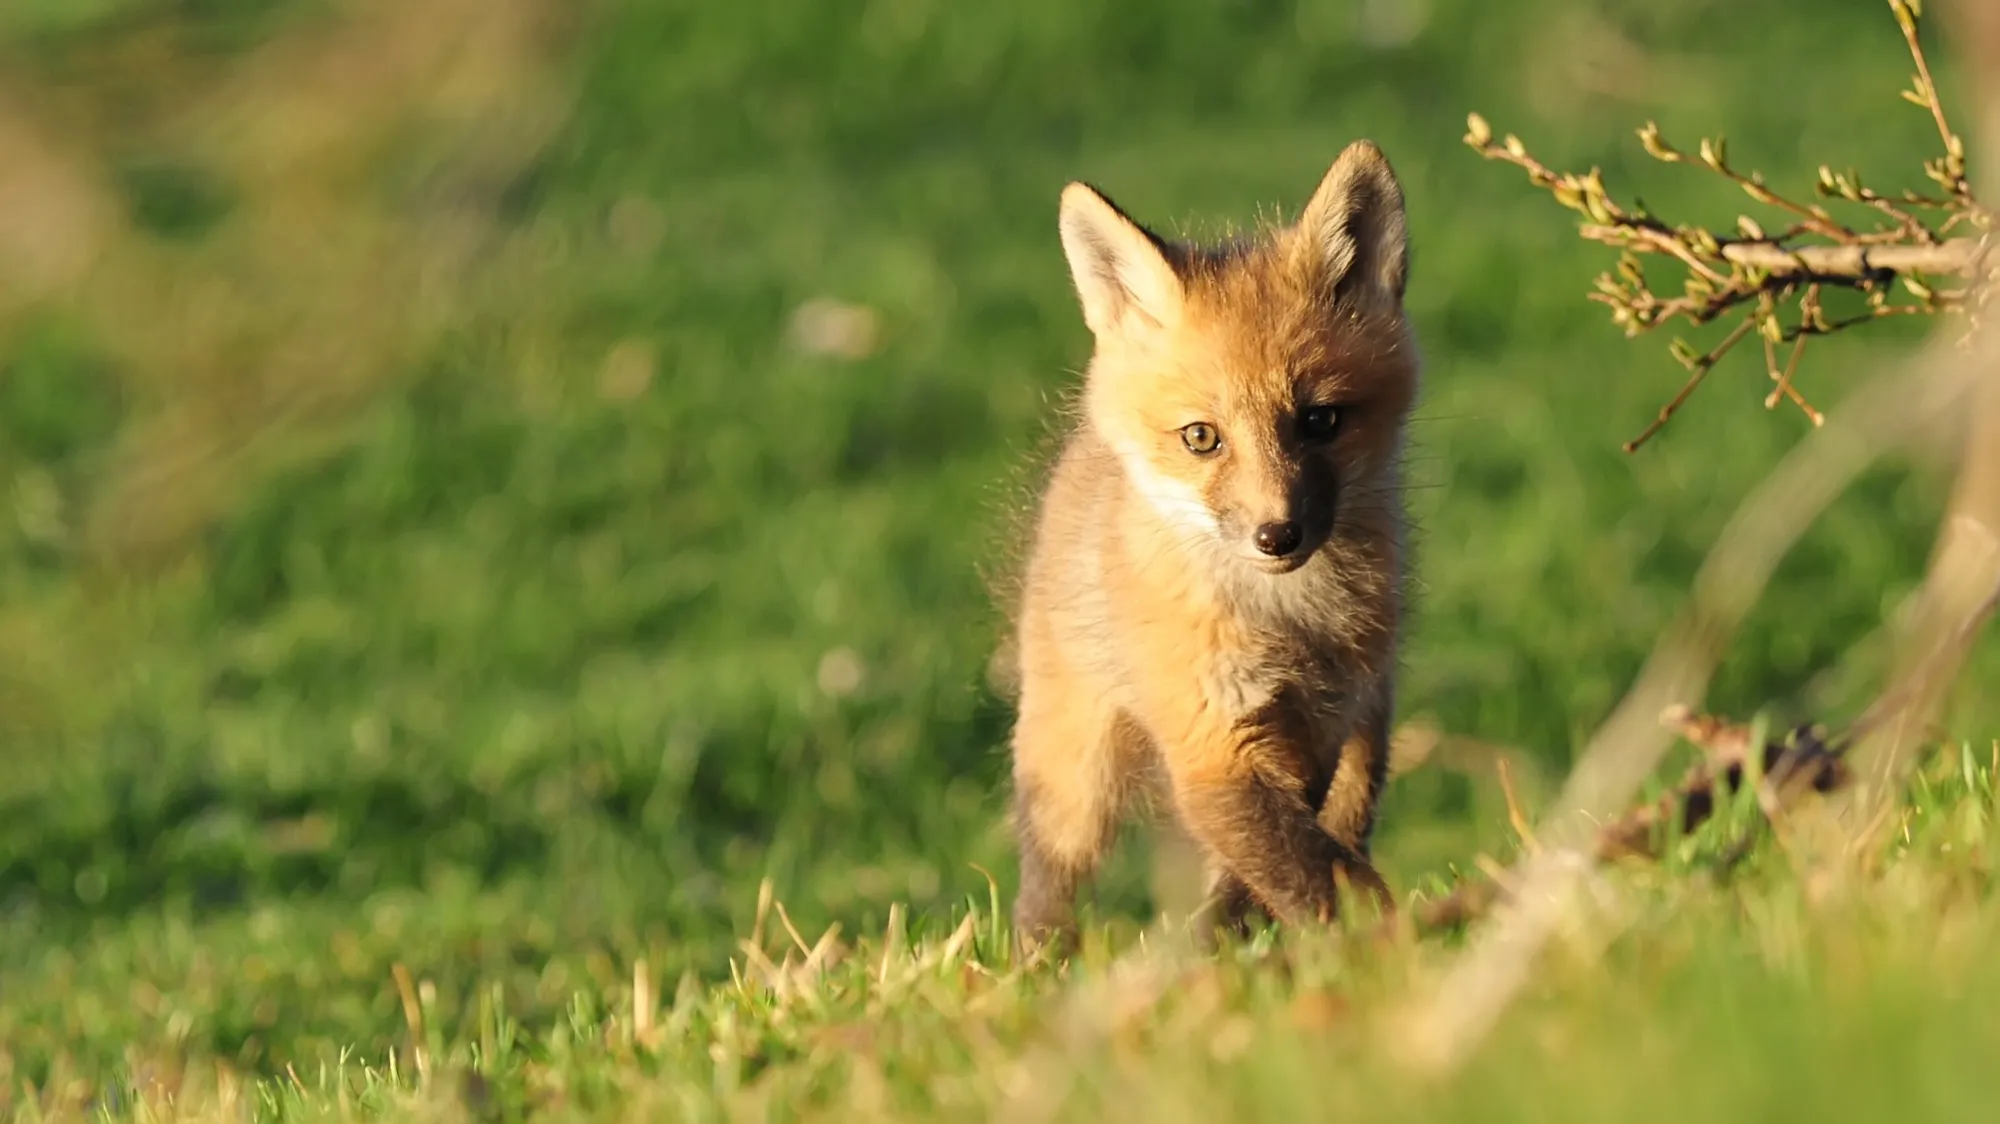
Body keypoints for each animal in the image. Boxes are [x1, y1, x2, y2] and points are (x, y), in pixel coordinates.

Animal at [1004, 140, 1418, 955]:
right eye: (1202, 438)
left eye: (1320, 421)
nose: (1277, 534)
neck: (1287, 620)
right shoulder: (1213, 745)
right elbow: (1312, 871)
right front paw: (1386, 947)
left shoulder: (1320, 724)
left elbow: (1298, 861)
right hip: (1073, 778)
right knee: (1048, 883)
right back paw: (1035, 966)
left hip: (1368, 727)